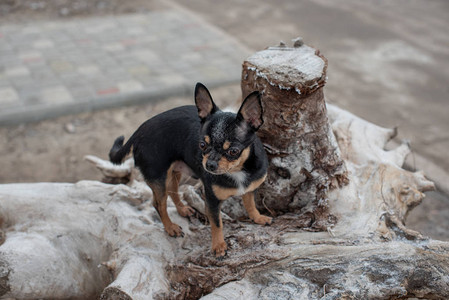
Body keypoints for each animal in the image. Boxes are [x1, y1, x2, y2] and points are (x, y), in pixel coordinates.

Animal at [109, 82, 270, 258]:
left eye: (233, 151)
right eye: (202, 145)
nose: (210, 165)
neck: (237, 171)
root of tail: (138, 132)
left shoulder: (250, 189)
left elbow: (250, 205)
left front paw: (257, 218)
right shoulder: (211, 200)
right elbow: (217, 223)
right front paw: (218, 246)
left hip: (175, 171)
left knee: (172, 191)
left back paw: (182, 209)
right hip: (158, 177)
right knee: (159, 203)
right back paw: (170, 227)